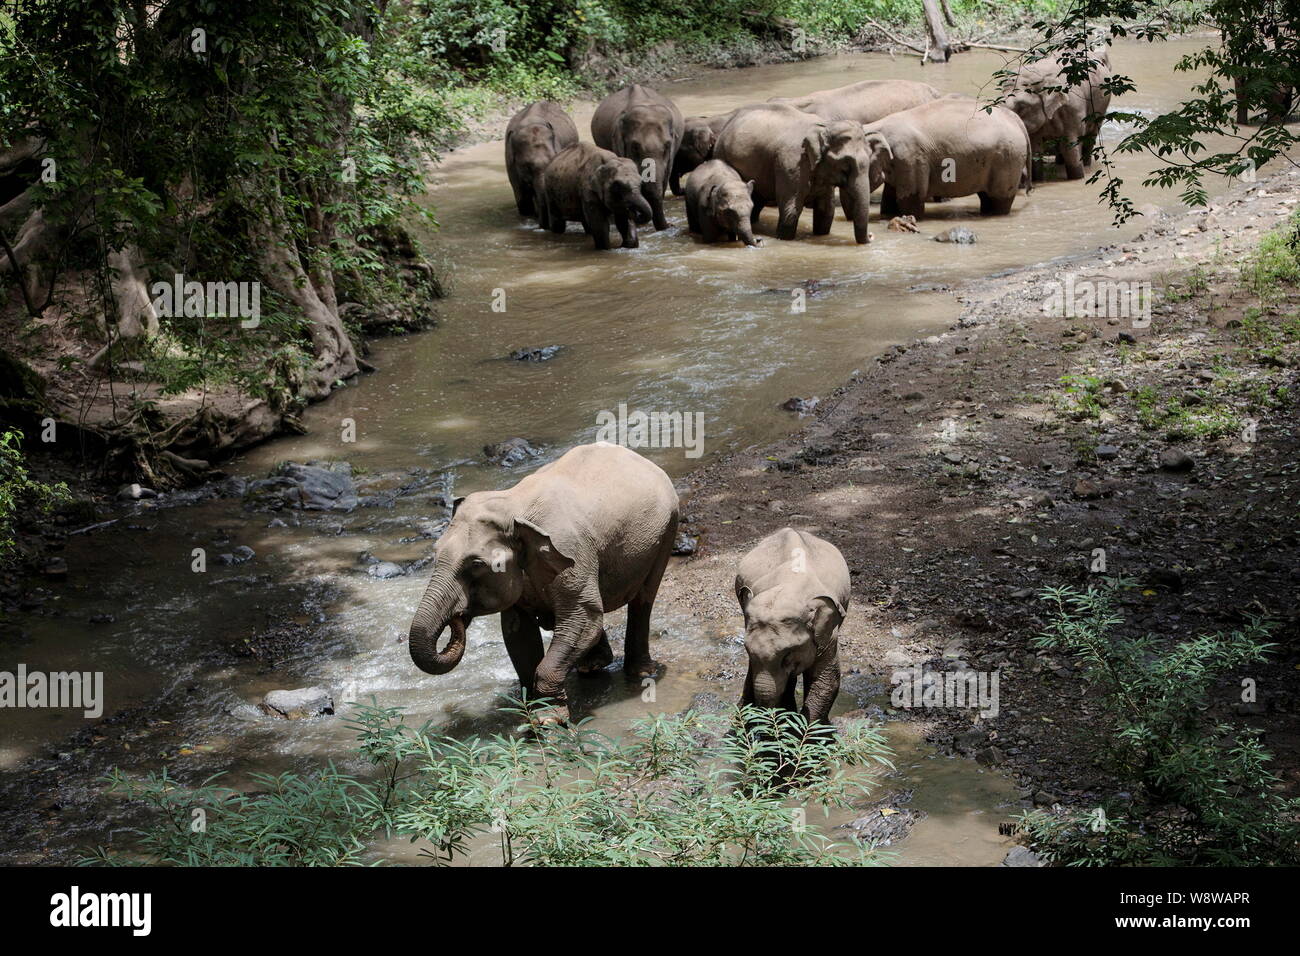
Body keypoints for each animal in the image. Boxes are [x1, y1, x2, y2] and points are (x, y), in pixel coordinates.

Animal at [407, 442, 679, 724]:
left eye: (476, 564)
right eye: (435, 553)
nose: (458, 618)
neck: (515, 506)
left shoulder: (572, 554)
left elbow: (583, 618)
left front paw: (549, 719)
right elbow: (518, 634)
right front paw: (531, 710)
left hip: (666, 531)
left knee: (642, 600)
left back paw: (641, 673)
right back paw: (591, 665)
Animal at [713, 103, 889, 243]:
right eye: (845, 164)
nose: (872, 236)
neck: (825, 126)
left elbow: (826, 211)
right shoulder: (790, 165)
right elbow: (790, 212)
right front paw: (784, 238)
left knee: (757, 202)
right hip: (722, 154)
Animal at [864, 96, 1032, 218]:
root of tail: (1015, 118)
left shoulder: (911, 159)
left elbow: (911, 202)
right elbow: (888, 201)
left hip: (1008, 159)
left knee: (999, 200)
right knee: (985, 197)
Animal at [1000, 48, 1112, 181]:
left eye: (1022, 106)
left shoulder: (1073, 109)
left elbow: (1071, 146)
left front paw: (1077, 178)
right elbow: (1036, 148)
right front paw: (1038, 179)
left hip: (1101, 107)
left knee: (1091, 136)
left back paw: (1086, 165)